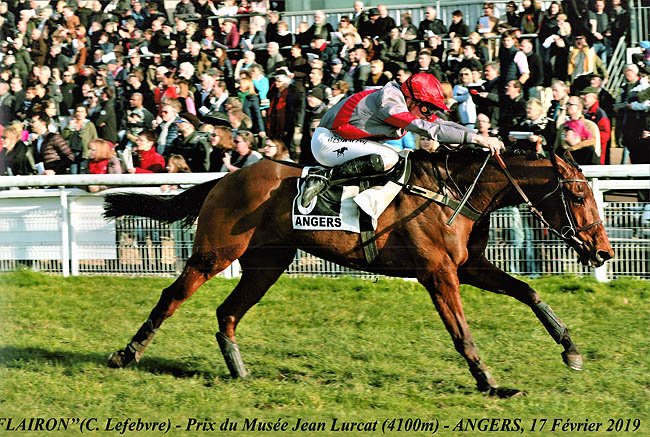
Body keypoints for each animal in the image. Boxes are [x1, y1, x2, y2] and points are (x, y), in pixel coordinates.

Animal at [103, 149, 614, 397]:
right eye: (578, 196)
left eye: (591, 193)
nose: (604, 253)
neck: (453, 192)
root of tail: (226, 177)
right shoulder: (438, 274)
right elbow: (462, 333)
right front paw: (490, 383)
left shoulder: (467, 266)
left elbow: (527, 291)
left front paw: (571, 350)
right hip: (215, 252)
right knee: (171, 296)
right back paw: (127, 354)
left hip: (267, 263)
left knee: (227, 313)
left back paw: (240, 371)